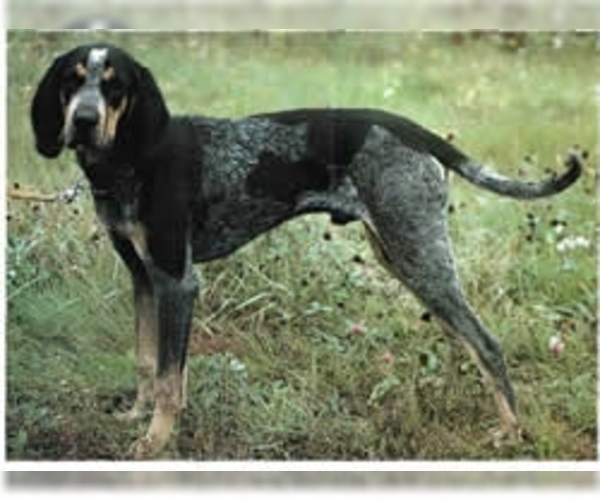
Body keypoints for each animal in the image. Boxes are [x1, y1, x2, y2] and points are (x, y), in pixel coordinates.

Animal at [30, 43, 584, 458]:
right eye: (71, 81)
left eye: (114, 86)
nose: (83, 120)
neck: (131, 160)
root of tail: (411, 128)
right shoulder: (144, 279)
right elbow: (147, 364)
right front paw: (134, 418)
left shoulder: (178, 282)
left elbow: (170, 379)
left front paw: (155, 442)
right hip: (407, 257)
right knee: (464, 338)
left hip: (417, 254)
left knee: (485, 342)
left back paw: (510, 432)